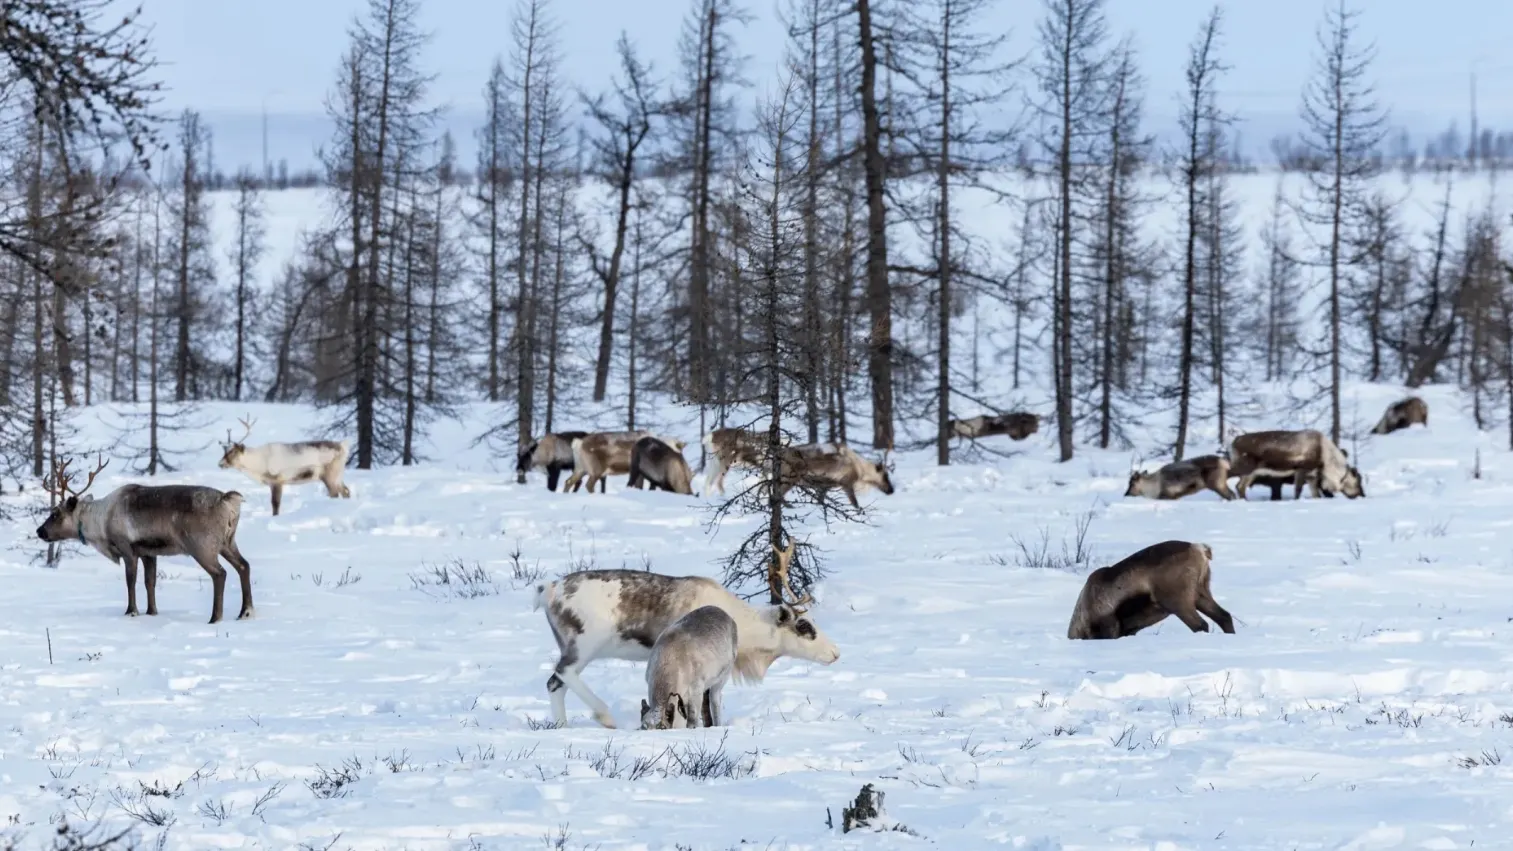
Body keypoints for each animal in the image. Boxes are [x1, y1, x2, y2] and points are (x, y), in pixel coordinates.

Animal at [36, 457, 255, 623]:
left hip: (202, 546)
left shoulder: (127, 548)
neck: (100, 522)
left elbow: (130, 581)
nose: (40, 531)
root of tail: (228, 500)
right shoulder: (149, 553)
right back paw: (245, 612)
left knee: (220, 574)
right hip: (228, 542)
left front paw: (131, 611)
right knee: (244, 565)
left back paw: (215, 618)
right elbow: (150, 582)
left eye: (55, 514)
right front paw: (152, 612)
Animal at [1071, 542, 1234, 635]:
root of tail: (1200, 550)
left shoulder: (1109, 624)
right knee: (1224, 616)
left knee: (1201, 625)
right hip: (1200, 593)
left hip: (1177, 600)